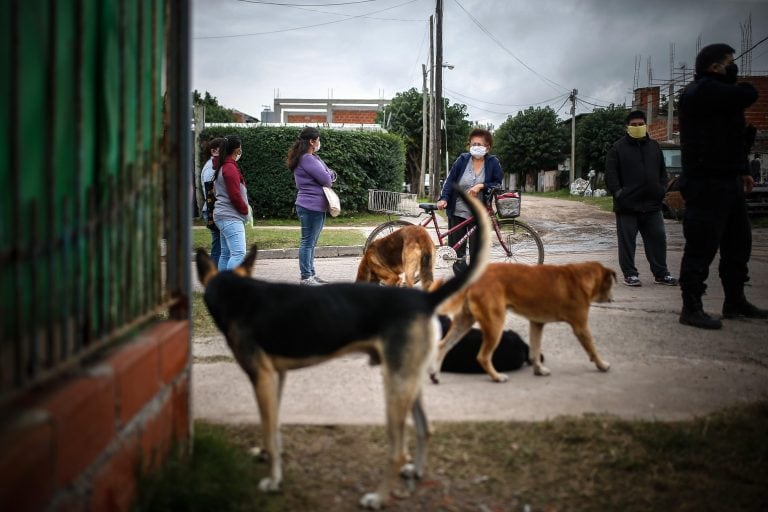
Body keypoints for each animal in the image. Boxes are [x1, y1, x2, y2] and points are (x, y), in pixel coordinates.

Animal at [195, 190, 488, 510]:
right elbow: (272, 428)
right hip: (409, 379)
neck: (240, 295)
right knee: (424, 429)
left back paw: (378, 496)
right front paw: (266, 454)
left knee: (398, 451)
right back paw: (417, 472)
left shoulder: (262, 378)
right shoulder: (276, 377)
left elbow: (270, 431)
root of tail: (425, 301)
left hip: (395, 384)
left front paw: (272, 479)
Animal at [428, 262, 616, 382]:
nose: (612, 299)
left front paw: (538, 370)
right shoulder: (580, 325)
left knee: (443, 345)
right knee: (483, 356)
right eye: (610, 284)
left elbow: (535, 350)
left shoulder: (536, 323)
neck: (579, 278)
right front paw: (602, 365)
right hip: (495, 323)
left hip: (465, 321)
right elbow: (591, 348)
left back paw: (435, 375)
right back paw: (497, 377)